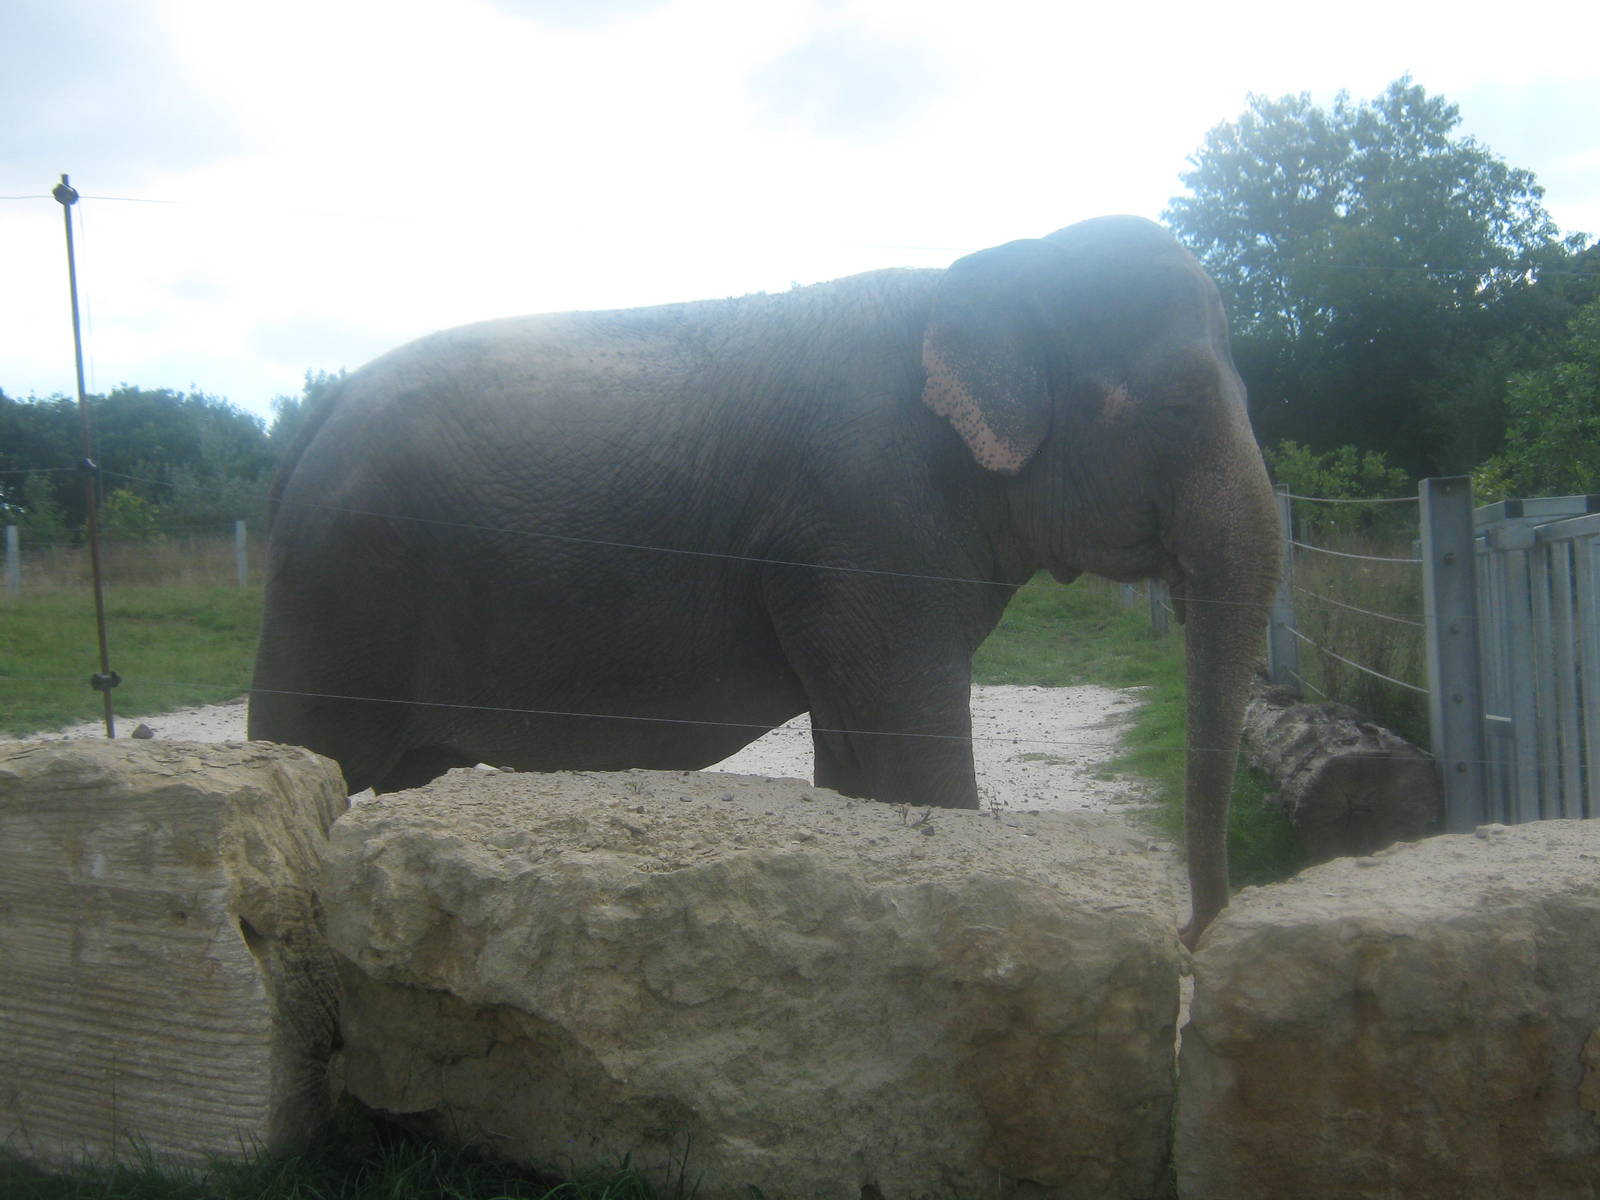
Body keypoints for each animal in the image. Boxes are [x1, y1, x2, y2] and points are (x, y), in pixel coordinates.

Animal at [249, 215, 1280, 944]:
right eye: (1178, 408)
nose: (1190, 935)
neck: (988, 268)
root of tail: (312, 421)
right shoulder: (866, 526)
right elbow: (917, 755)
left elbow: (861, 761)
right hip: (338, 592)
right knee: (311, 756)